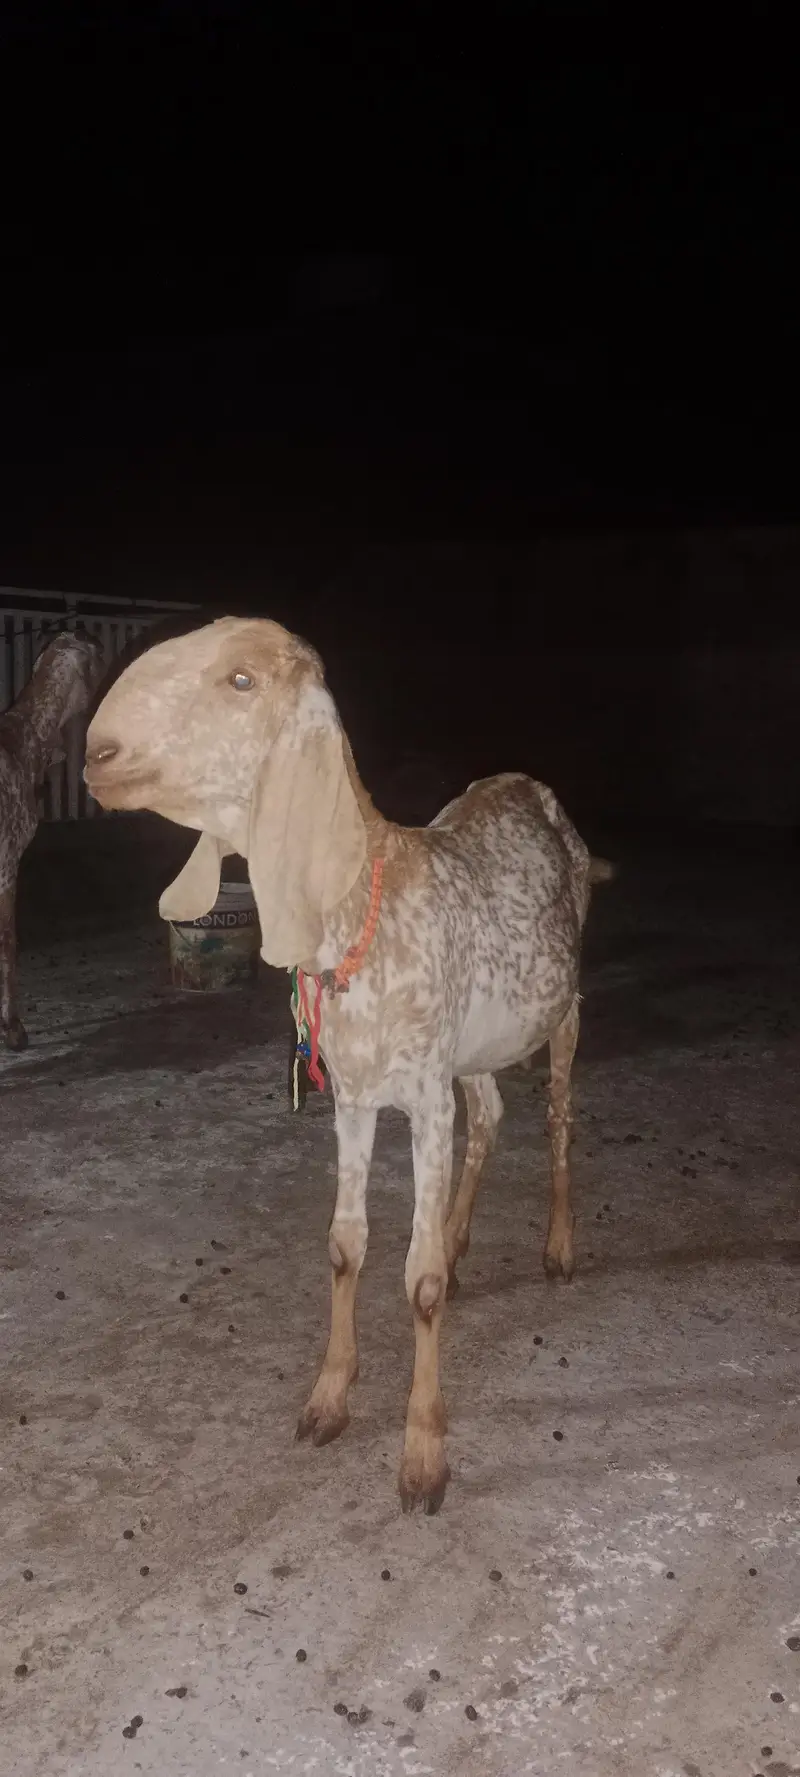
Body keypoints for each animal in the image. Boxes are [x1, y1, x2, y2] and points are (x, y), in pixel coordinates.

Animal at [85, 616, 613, 1513]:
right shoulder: (355, 1097)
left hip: (563, 1008)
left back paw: (559, 1248)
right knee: (492, 1116)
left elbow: (418, 1279)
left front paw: (423, 1455)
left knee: (556, 1118)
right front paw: (328, 1398)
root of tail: (529, 786)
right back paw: (462, 1238)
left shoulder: (423, 1098)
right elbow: (345, 1244)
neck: (362, 908)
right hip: (471, 1049)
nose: (97, 751)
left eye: (241, 681)